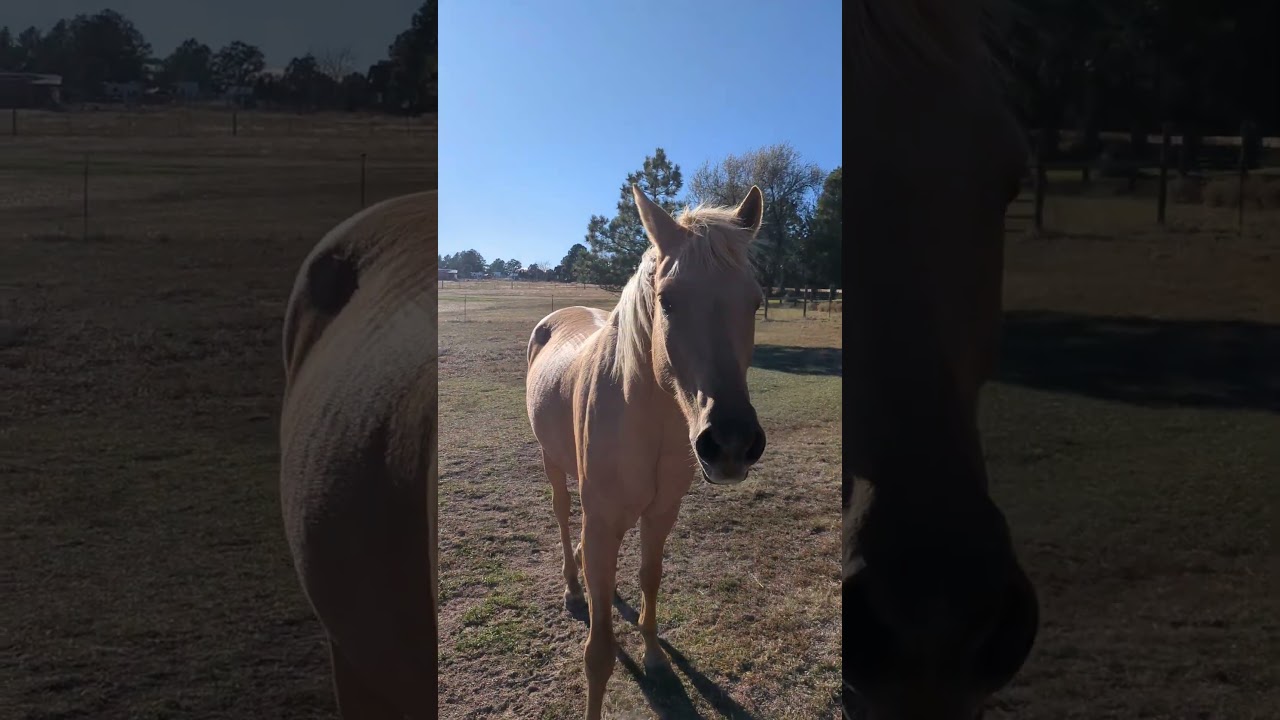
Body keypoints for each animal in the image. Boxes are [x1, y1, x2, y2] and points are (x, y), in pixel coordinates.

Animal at [526, 186, 768, 719]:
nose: (732, 443)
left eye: (755, 301)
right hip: (553, 464)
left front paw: (656, 658)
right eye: (668, 300)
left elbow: (649, 578)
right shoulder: (602, 521)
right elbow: (598, 654)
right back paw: (573, 586)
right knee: (561, 515)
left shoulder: (660, 514)